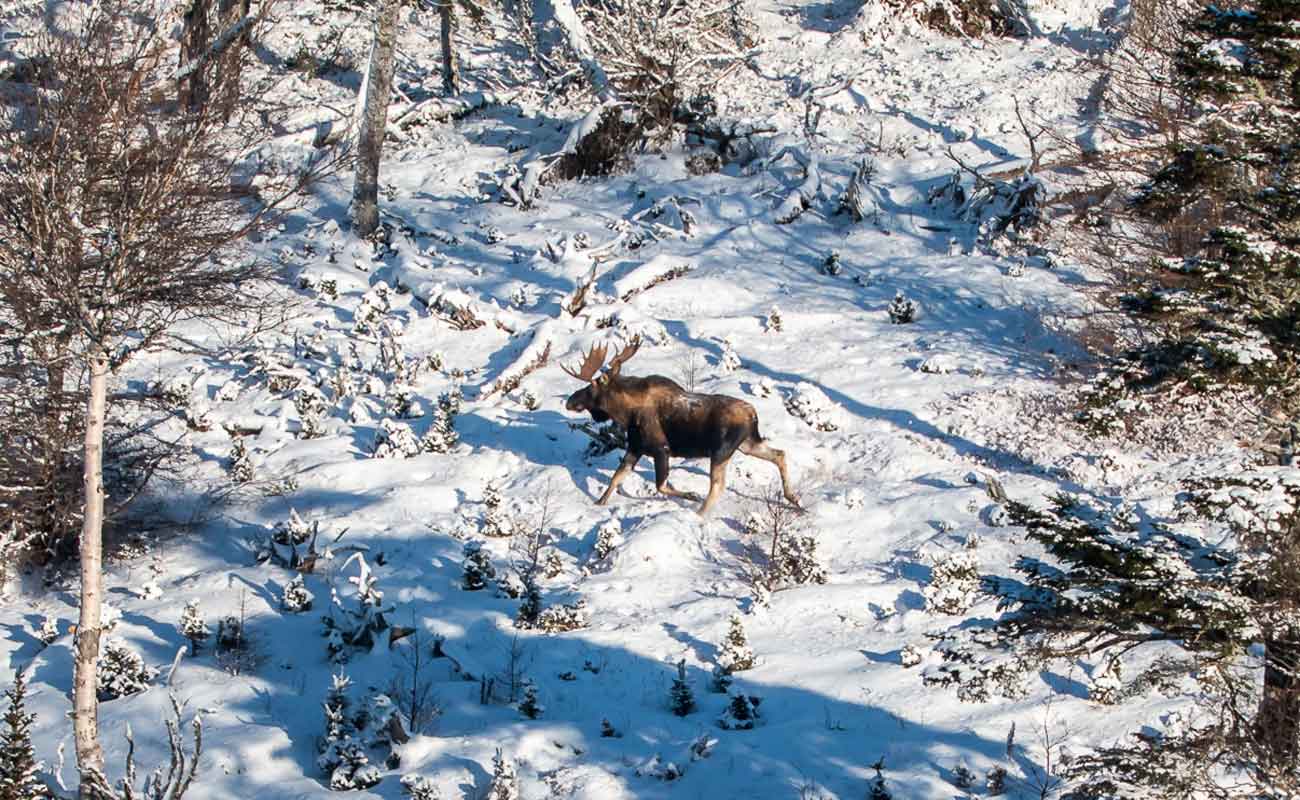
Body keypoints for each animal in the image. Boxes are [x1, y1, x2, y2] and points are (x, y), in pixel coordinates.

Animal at [561, 335, 800, 512]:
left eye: (590, 388)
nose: (570, 401)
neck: (626, 413)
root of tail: (753, 414)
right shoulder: (635, 447)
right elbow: (616, 478)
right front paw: (599, 501)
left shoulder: (661, 448)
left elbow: (660, 485)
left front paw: (690, 495)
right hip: (748, 443)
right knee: (779, 454)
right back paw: (794, 498)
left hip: (722, 450)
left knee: (718, 486)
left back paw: (700, 514)